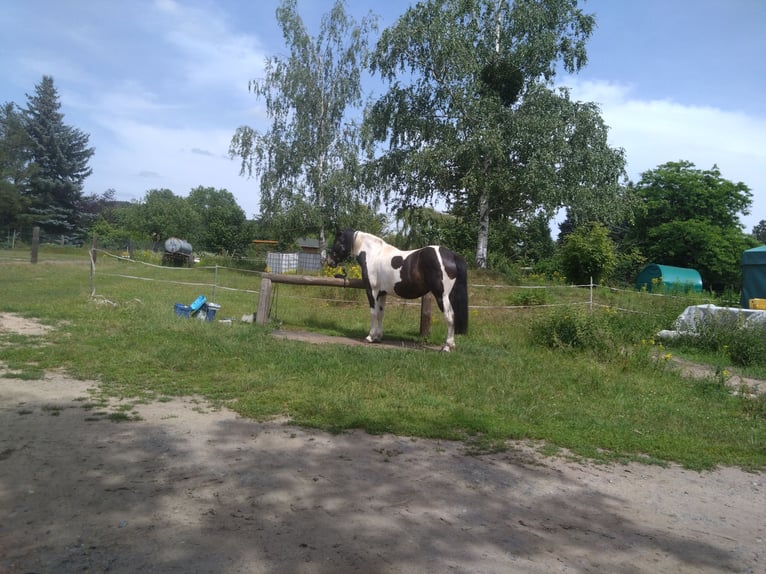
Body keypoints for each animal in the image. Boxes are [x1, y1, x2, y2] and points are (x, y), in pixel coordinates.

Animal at [328, 230, 472, 352]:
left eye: (337, 241)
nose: (330, 261)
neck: (373, 254)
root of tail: (451, 255)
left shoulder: (372, 291)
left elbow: (373, 313)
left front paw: (370, 337)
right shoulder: (382, 293)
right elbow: (381, 314)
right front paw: (378, 337)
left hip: (442, 295)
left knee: (450, 317)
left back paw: (447, 347)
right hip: (449, 295)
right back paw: (451, 345)